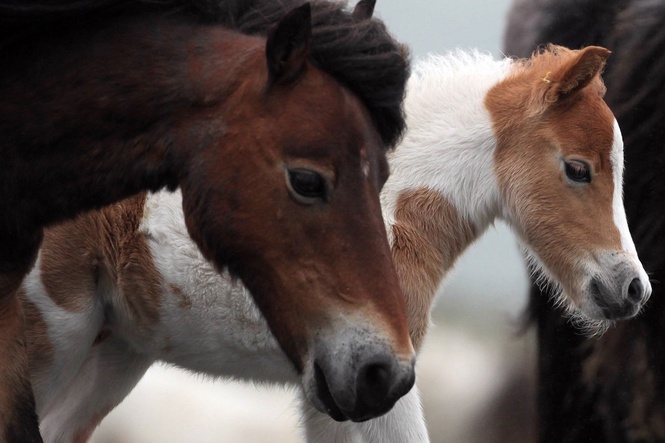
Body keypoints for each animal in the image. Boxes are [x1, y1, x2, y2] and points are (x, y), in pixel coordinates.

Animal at [21, 43, 651, 442]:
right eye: (577, 169)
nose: (632, 289)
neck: (389, 214)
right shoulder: (367, 385)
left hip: (116, 351)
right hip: (54, 328)